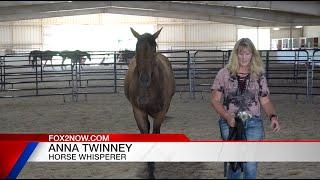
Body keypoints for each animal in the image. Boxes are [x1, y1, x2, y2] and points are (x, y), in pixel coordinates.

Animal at [124, 27, 175, 178]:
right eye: (137, 50)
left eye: (153, 51)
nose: (144, 79)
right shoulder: (138, 111)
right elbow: (145, 132)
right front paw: (149, 168)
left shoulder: (161, 112)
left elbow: (155, 133)